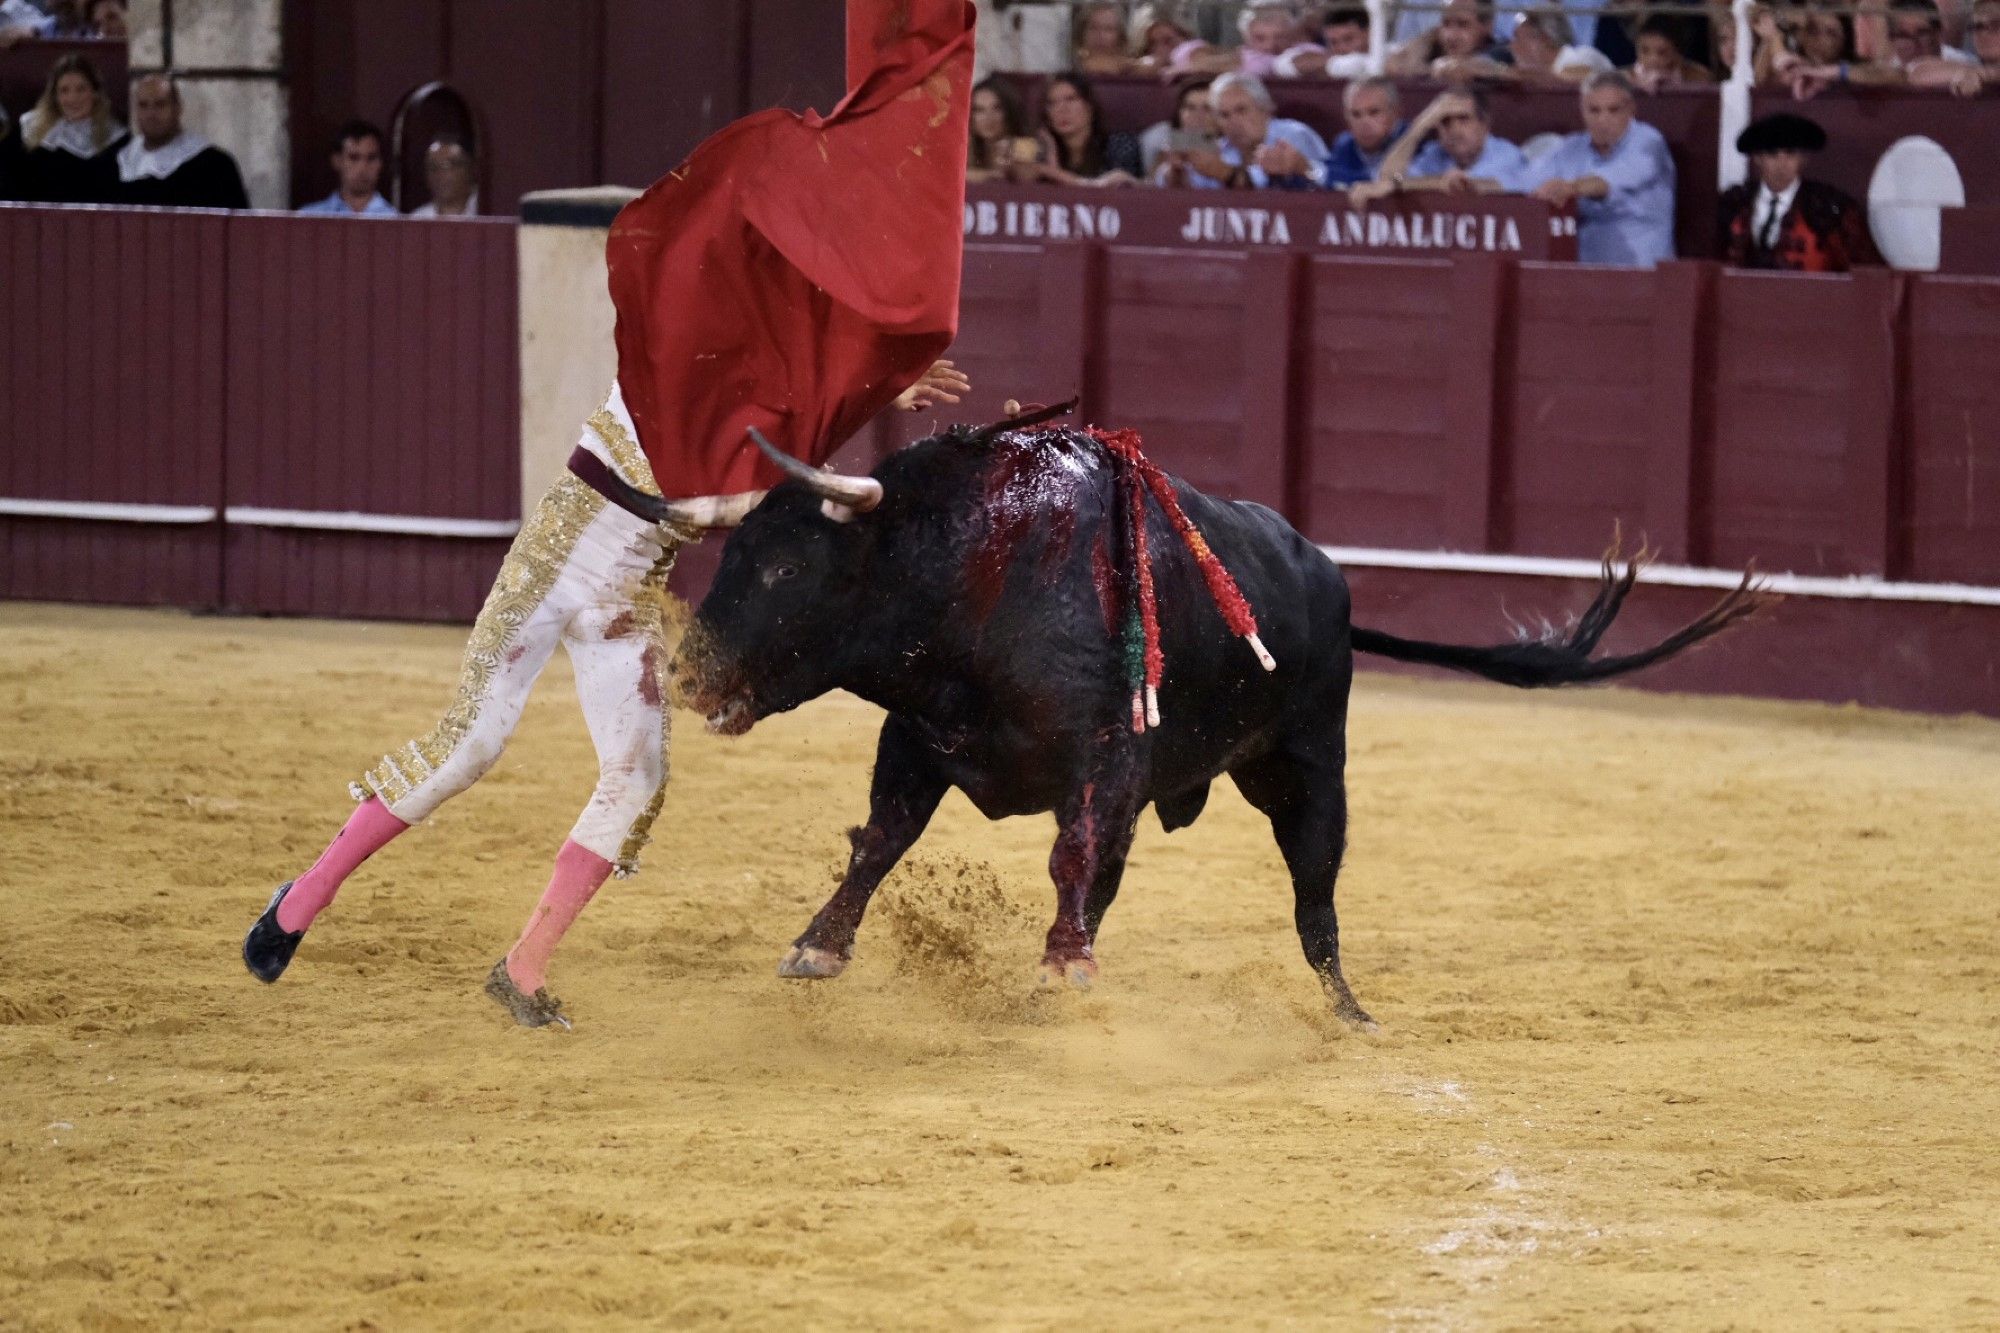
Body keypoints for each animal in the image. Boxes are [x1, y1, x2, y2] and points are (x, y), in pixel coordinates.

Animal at [664, 420, 1760, 1020]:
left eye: (785, 566)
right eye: (733, 552)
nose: (685, 671)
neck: (982, 575)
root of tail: (1331, 577)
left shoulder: (1102, 758)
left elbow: (1062, 858)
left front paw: (1057, 971)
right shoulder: (919, 733)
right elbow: (881, 838)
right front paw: (817, 948)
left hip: (1310, 771)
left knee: (1314, 905)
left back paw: (1349, 1016)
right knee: (1116, 884)